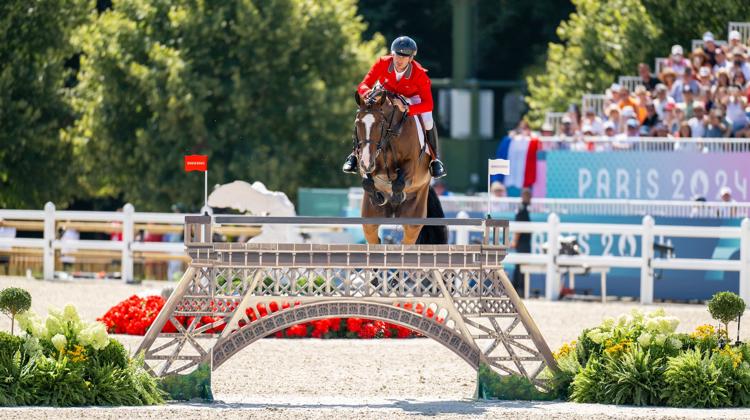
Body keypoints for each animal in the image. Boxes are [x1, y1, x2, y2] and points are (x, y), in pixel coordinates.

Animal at [352, 84, 446, 246]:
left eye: (380, 125)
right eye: (357, 124)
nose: (366, 162)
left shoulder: (411, 165)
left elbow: (398, 183)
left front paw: (397, 197)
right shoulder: (367, 161)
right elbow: (367, 182)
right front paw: (379, 197)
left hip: (413, 219)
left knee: (407, 239)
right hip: (370, 220)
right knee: (373, 237)